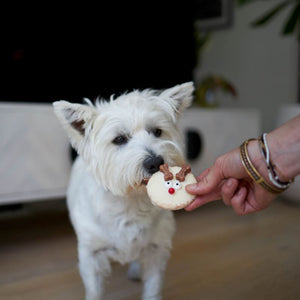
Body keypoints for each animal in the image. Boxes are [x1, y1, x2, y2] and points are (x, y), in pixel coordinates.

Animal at [53, 82, 195, 300]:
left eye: (157, 131)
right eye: (119, 139)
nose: (155, 162)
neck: (131, 200)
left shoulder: (156, 249)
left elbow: (153, 286)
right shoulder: (92, 255)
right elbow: (94, 290)